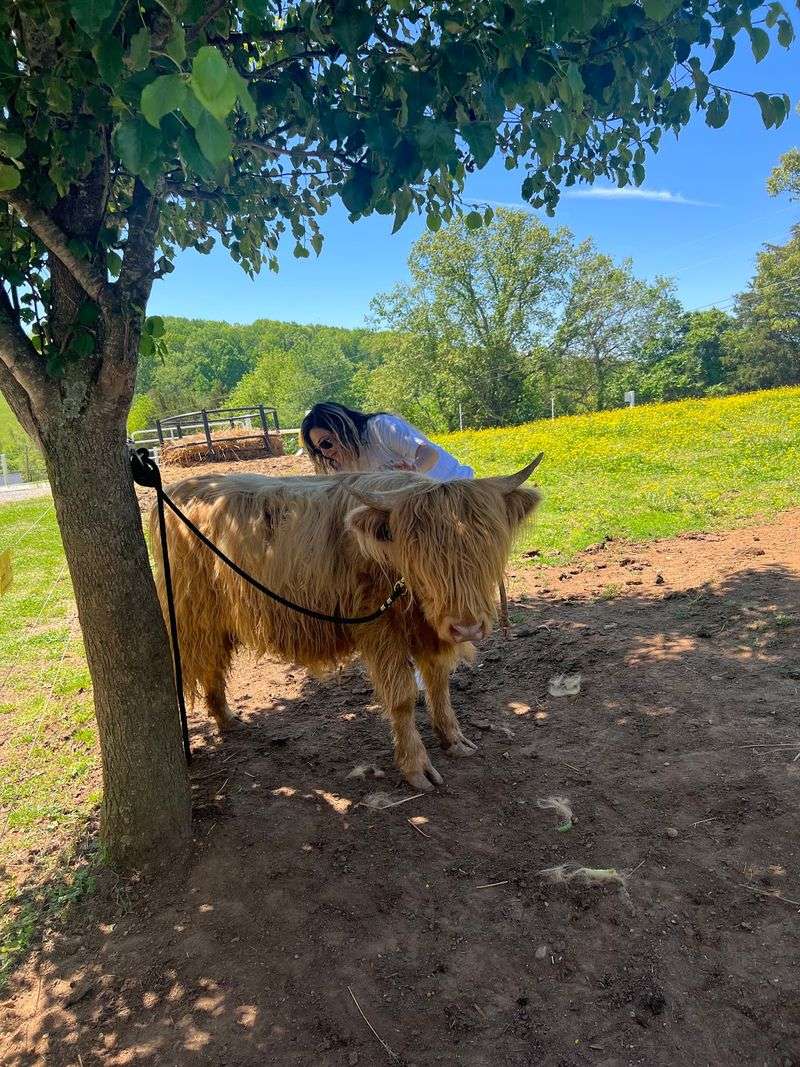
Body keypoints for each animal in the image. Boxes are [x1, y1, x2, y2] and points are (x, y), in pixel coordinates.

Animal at [150, 458, 542, 790]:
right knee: (188, 666)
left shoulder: (428, 630)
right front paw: (416, 767)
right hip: (189, 613)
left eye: (486, 546)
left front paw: (453, 738)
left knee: (214, 665)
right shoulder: (377, 627)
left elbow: (438, 683)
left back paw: (227, 720)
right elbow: (402, 696)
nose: (468, 628)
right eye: (421, 554)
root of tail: (178, 490)